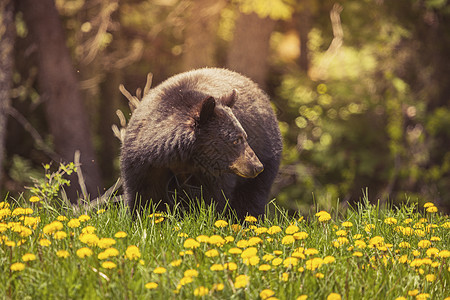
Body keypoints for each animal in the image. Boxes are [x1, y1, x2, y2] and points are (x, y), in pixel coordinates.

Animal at [119, 67, 282, 218]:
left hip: (267, 156)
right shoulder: (143, 162)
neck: (180, 158)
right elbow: (143, 197)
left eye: (245, 136)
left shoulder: (213, 173)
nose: (257, 166)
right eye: (236, 140)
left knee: (251, 198)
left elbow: (212, 200)